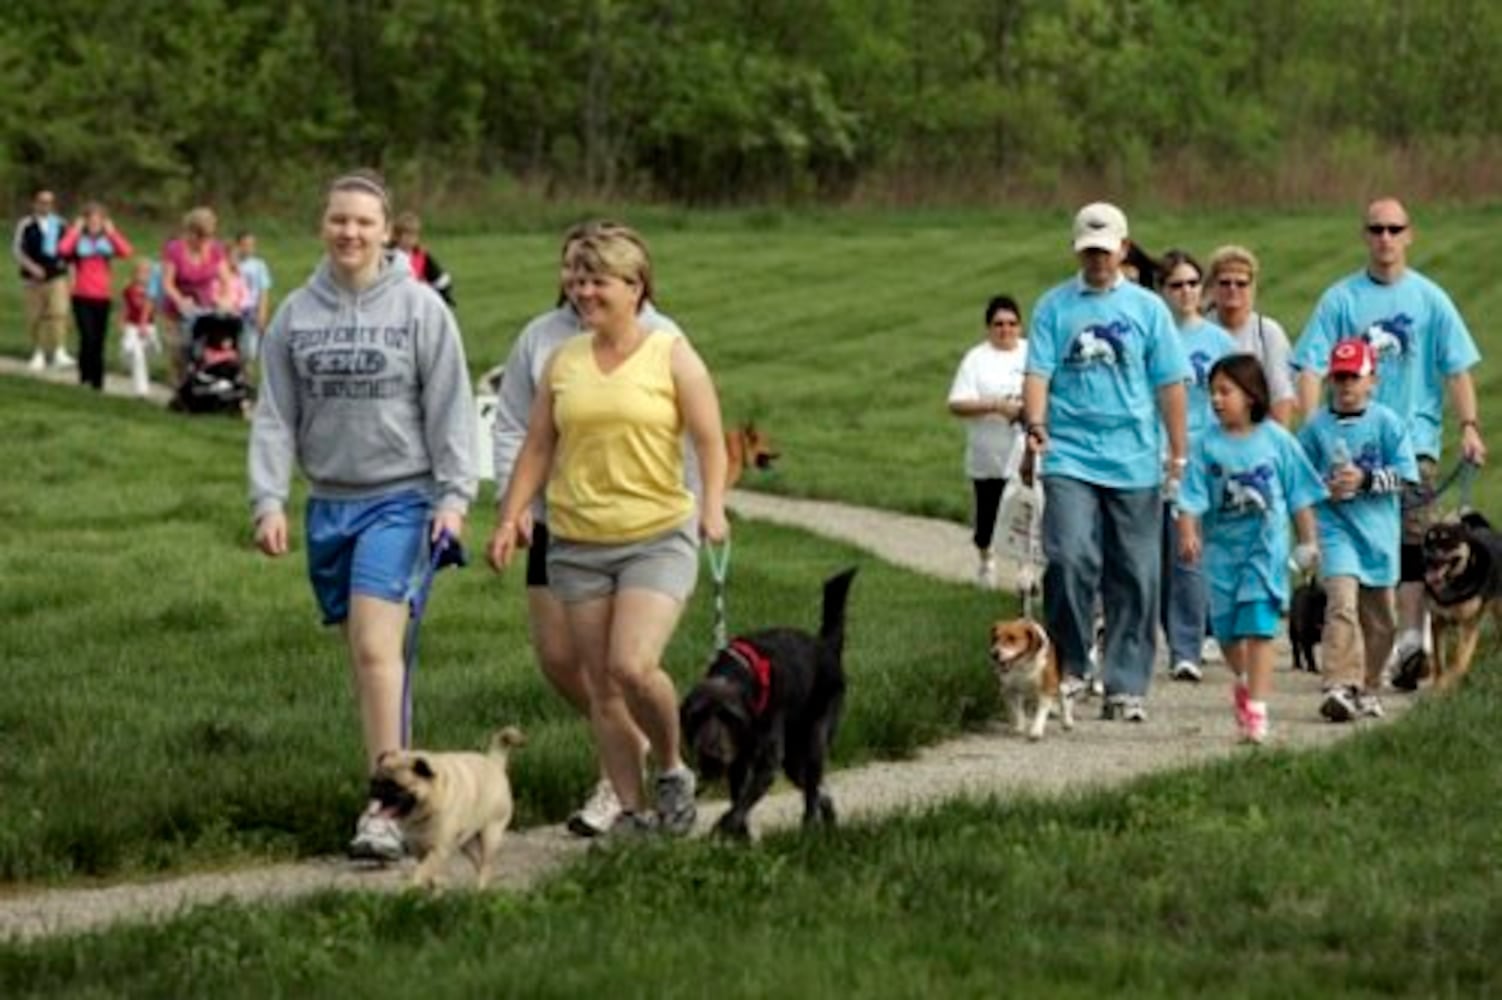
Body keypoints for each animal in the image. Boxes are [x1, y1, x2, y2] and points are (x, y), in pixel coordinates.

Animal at [366, 723, 525, 888]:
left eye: (394, 786)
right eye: (373, 781)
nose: (375, 789)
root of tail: (494, 763)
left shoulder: (438, 850)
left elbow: (423, 870)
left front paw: (413, 885)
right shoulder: (419, 848)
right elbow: (428, 872)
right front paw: (433, 887)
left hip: (490, 835)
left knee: (486, 865)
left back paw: (480, 887)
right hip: (466, 842)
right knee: (479, 862)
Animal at [681, 564, 859, 834]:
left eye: (729, 716)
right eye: (697, 716)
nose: (712, 756)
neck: (738, 673)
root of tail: (825, 645)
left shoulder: (766, 761)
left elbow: (740, 805)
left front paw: (723, 828)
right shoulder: (739, 760)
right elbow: (738, 799)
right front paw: (739, 836)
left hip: (816, 737)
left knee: (812, 789)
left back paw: (808, 828)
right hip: (794, 759)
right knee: (819, 789)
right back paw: (828, 823)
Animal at [1417, 510, 1502, 690]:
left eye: (1446, 540)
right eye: (1428, 541)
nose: (1430, 552)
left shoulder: (1468, 624)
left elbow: (1459, 657)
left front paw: (1450, 680)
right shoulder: (1438, 621)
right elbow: (1438, 657)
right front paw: (1439, 680)